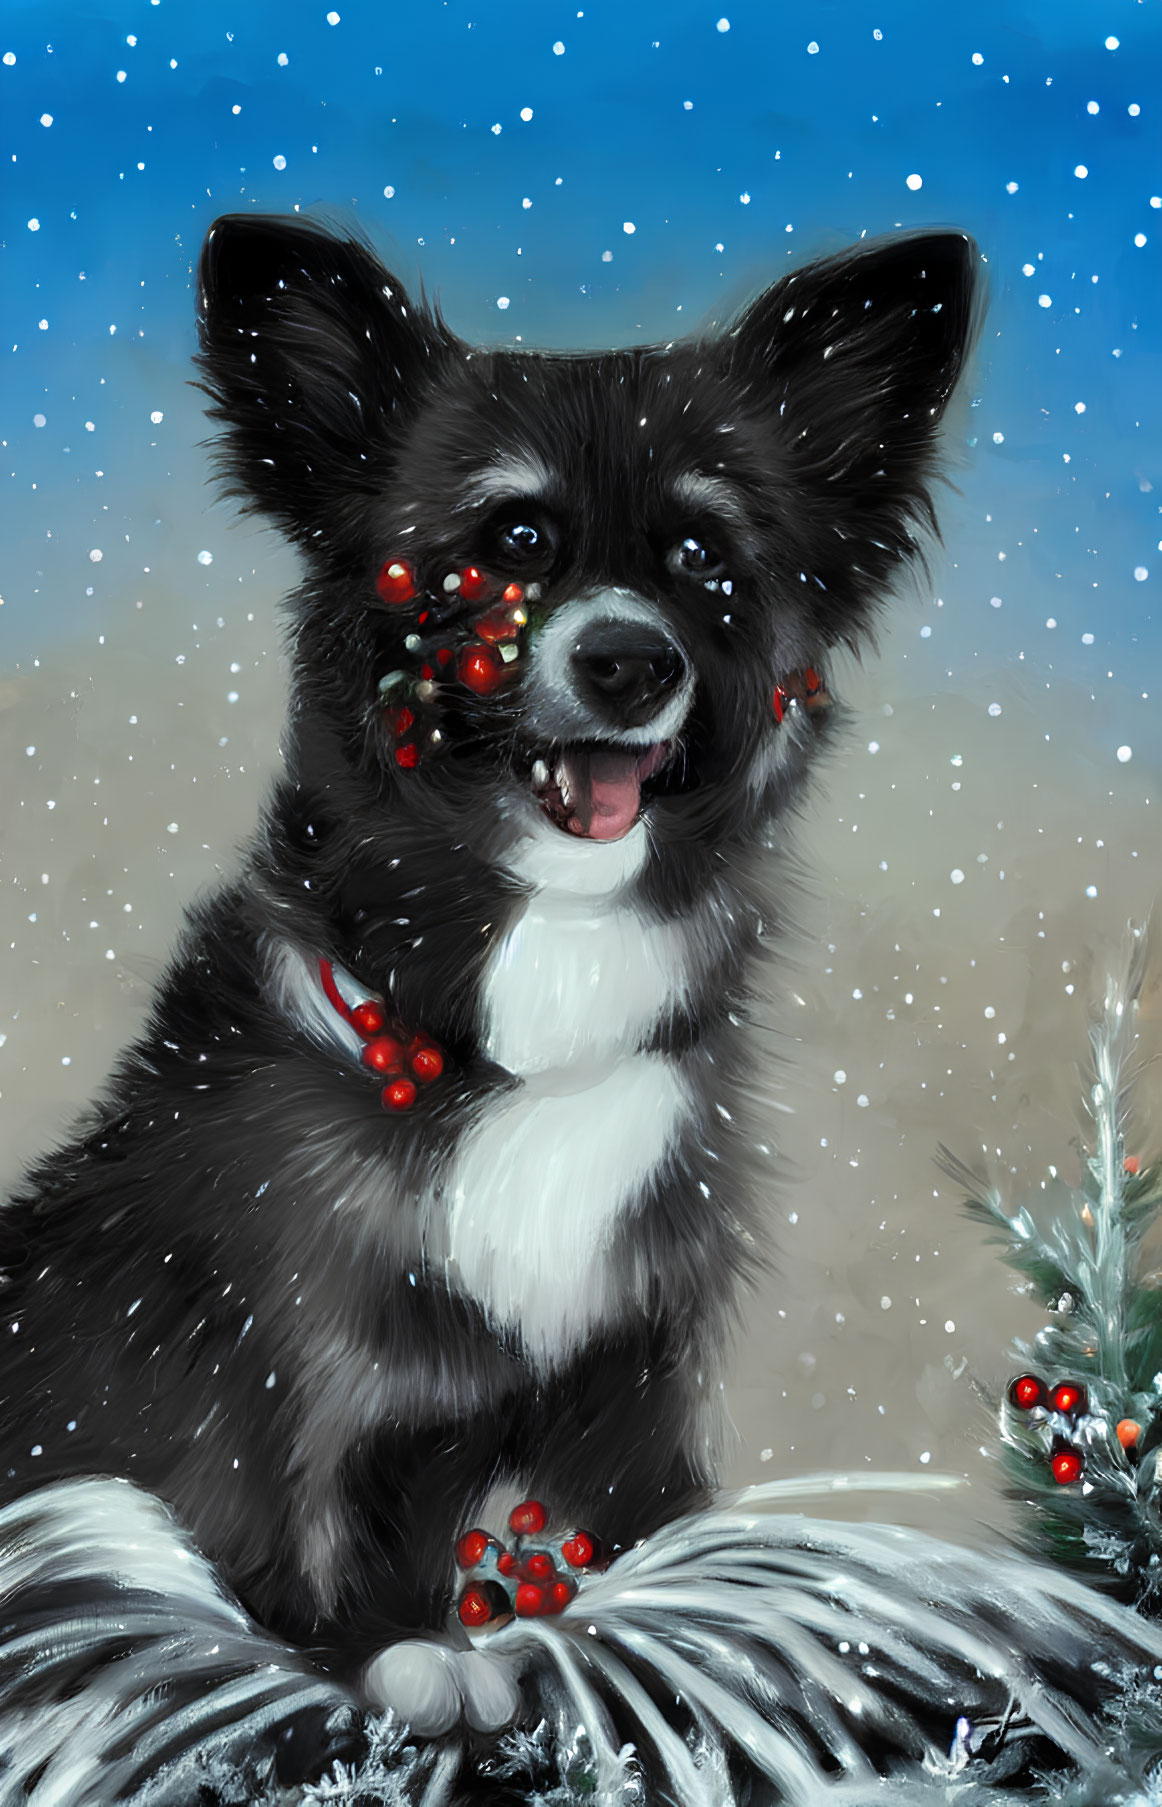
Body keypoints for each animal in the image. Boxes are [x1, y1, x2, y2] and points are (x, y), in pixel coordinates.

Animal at [0, 215, 983, 1792]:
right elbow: (302, 1576)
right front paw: (409, 1664)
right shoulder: (288, 1390)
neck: (528, 1036)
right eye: (509, 539)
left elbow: (645, 1556)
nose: (627, 660)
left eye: (704, 552)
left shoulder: (634, 1389)